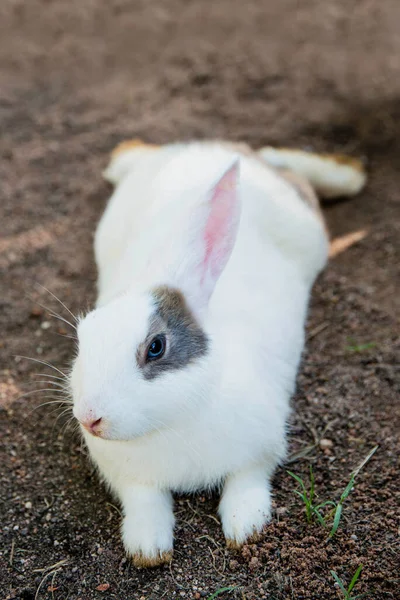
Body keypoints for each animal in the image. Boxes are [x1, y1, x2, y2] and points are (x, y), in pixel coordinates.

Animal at [69, 138, 366, 564]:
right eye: (84, 336)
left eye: (156, 348)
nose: (90, 418)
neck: (171, 423)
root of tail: (216, 146)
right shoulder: (131, 479)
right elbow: (145, 503)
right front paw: (149, 547)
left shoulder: (258, 453)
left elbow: (245, 484)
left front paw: (247, 528)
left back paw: (349, 176)